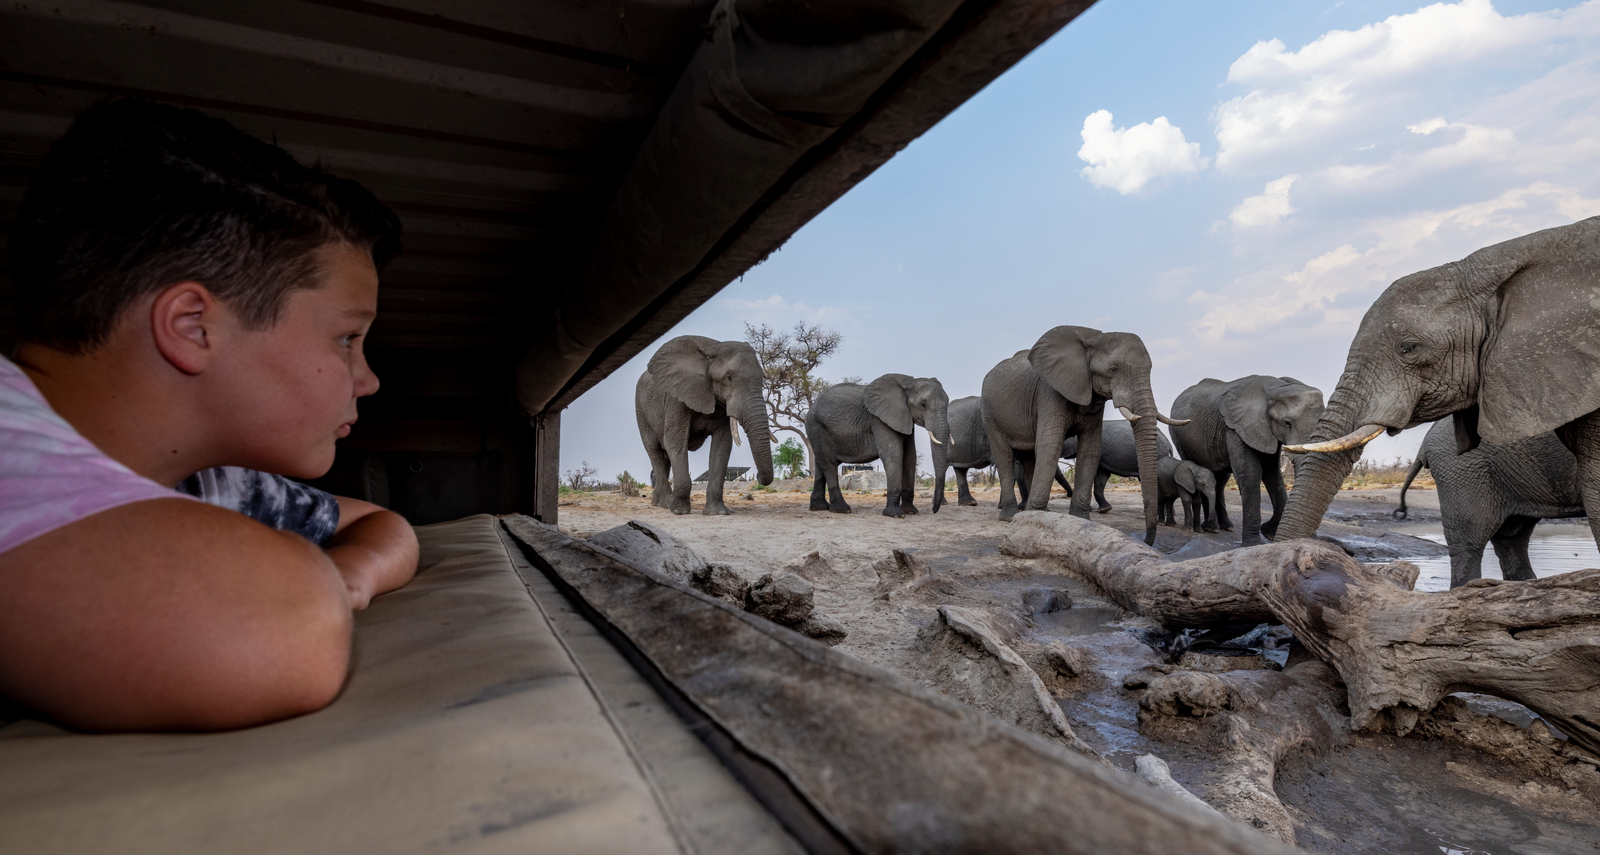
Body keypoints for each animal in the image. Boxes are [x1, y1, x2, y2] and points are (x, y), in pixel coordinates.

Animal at [635, 335, 774, 515]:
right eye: (728, 377)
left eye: (762, 378)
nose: (756, 476)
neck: (714, 348)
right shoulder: (676, 397)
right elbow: (675, 442)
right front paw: (678, 510)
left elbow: (721, 447)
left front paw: (717, 512)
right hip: (641, 411)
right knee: (655, 451)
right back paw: (664, 504)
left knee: (664, 457)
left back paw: (657, 502)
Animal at [807, 374, 950, 517]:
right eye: (923, 404)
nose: (934, 510)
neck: (908, 382)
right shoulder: (879, 420)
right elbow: (894, 454)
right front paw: (895, 514)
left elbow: (910, 456)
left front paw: (911, 512)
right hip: (817, 427)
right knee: (829, 463)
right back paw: (842, 509)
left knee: (820, 463)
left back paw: (819, 507)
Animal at [980, 325, 1186, 543]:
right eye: (1113, 370)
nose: (1146, 540)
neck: (1093, 338)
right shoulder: (1049, 392)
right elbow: (1050, 445)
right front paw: (1032, 519)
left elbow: (1090, 450)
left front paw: (1080, 520)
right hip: (990, 414)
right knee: (1004, 457)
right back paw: (1011, 516)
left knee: (1029, 459)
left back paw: (1036, 513)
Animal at [1169, 376, 1325, 546]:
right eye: (1287, 423)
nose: (1313, 537)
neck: (1276, 388)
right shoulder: (1237, 428)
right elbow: (1250, 475)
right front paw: (1254, 543)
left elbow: (1273, 474)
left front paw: (1270, 533)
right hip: (1180, 438)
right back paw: (1212, 528)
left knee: (1220, 480)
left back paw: (1226, 527)